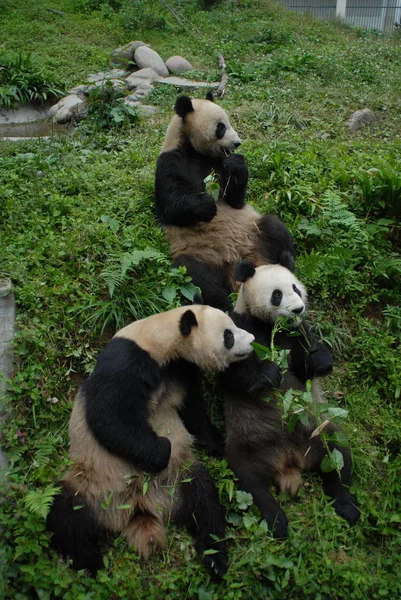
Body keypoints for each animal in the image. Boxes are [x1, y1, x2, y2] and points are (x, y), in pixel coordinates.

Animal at [47, 308, 253, 580]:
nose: (251, 341)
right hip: (92, 484)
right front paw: (161, 449)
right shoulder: (128, 358)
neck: (162, 338)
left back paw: (214, 558)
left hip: (177, 480)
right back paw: (89, 562)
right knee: (66, 512)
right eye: (228, 335)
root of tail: (138, 509)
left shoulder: (182, 369)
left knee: (204, 498)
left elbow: (192, 411)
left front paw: (218, 445)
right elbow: (109, 414)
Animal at [153, 91, 294, 312]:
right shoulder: (170, 163)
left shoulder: (219, 163)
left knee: (275, 227)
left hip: (254, 233)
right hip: (201, 256)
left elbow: (236, 200)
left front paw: (237, 164)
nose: (237, 143)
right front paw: (206, 205)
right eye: (221, 127)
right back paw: (224, 305)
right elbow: (171, 207)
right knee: (198, 276)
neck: (193, 150)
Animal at [217, 260, 360, 536]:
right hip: (249, 440)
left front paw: (320, 358)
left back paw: (347, 507)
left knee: (338, 454)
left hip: (315, 431)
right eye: (277, 294)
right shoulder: (238, 326)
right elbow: (232, 377)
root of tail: (289, 459)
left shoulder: (301, 332)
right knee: (248, 479)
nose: (298, 309)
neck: (271, 326)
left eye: (295, 287)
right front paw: (270, 372)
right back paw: (277, 521)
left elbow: (307, 368)